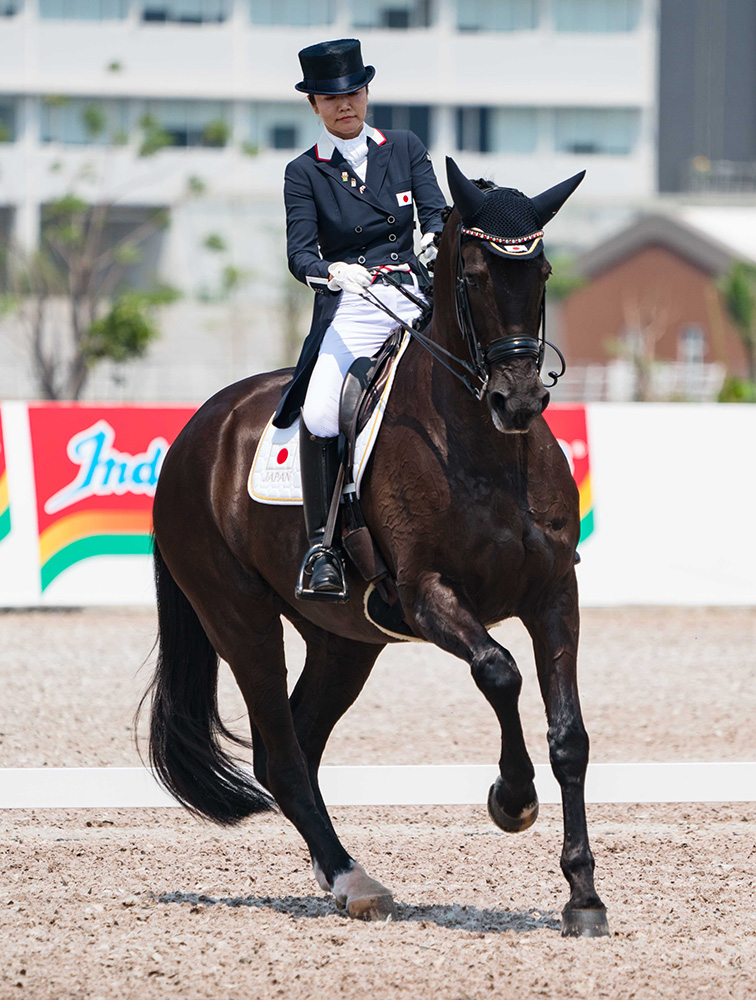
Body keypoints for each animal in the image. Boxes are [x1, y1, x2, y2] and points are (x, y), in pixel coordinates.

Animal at [142, 156, 612, 936]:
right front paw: (511, 800)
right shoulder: (426, 595)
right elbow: (500, 672)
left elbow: (569, 735)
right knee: (283, 755)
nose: (517, 401)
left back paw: (341, 875)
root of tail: (195, 432)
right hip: (239, 619)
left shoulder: (555, 595)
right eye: (475, 275)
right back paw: (351, 879)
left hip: (342, 641)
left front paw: (583, 896)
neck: (485, 449)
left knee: (293, 748)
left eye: (542, 270)